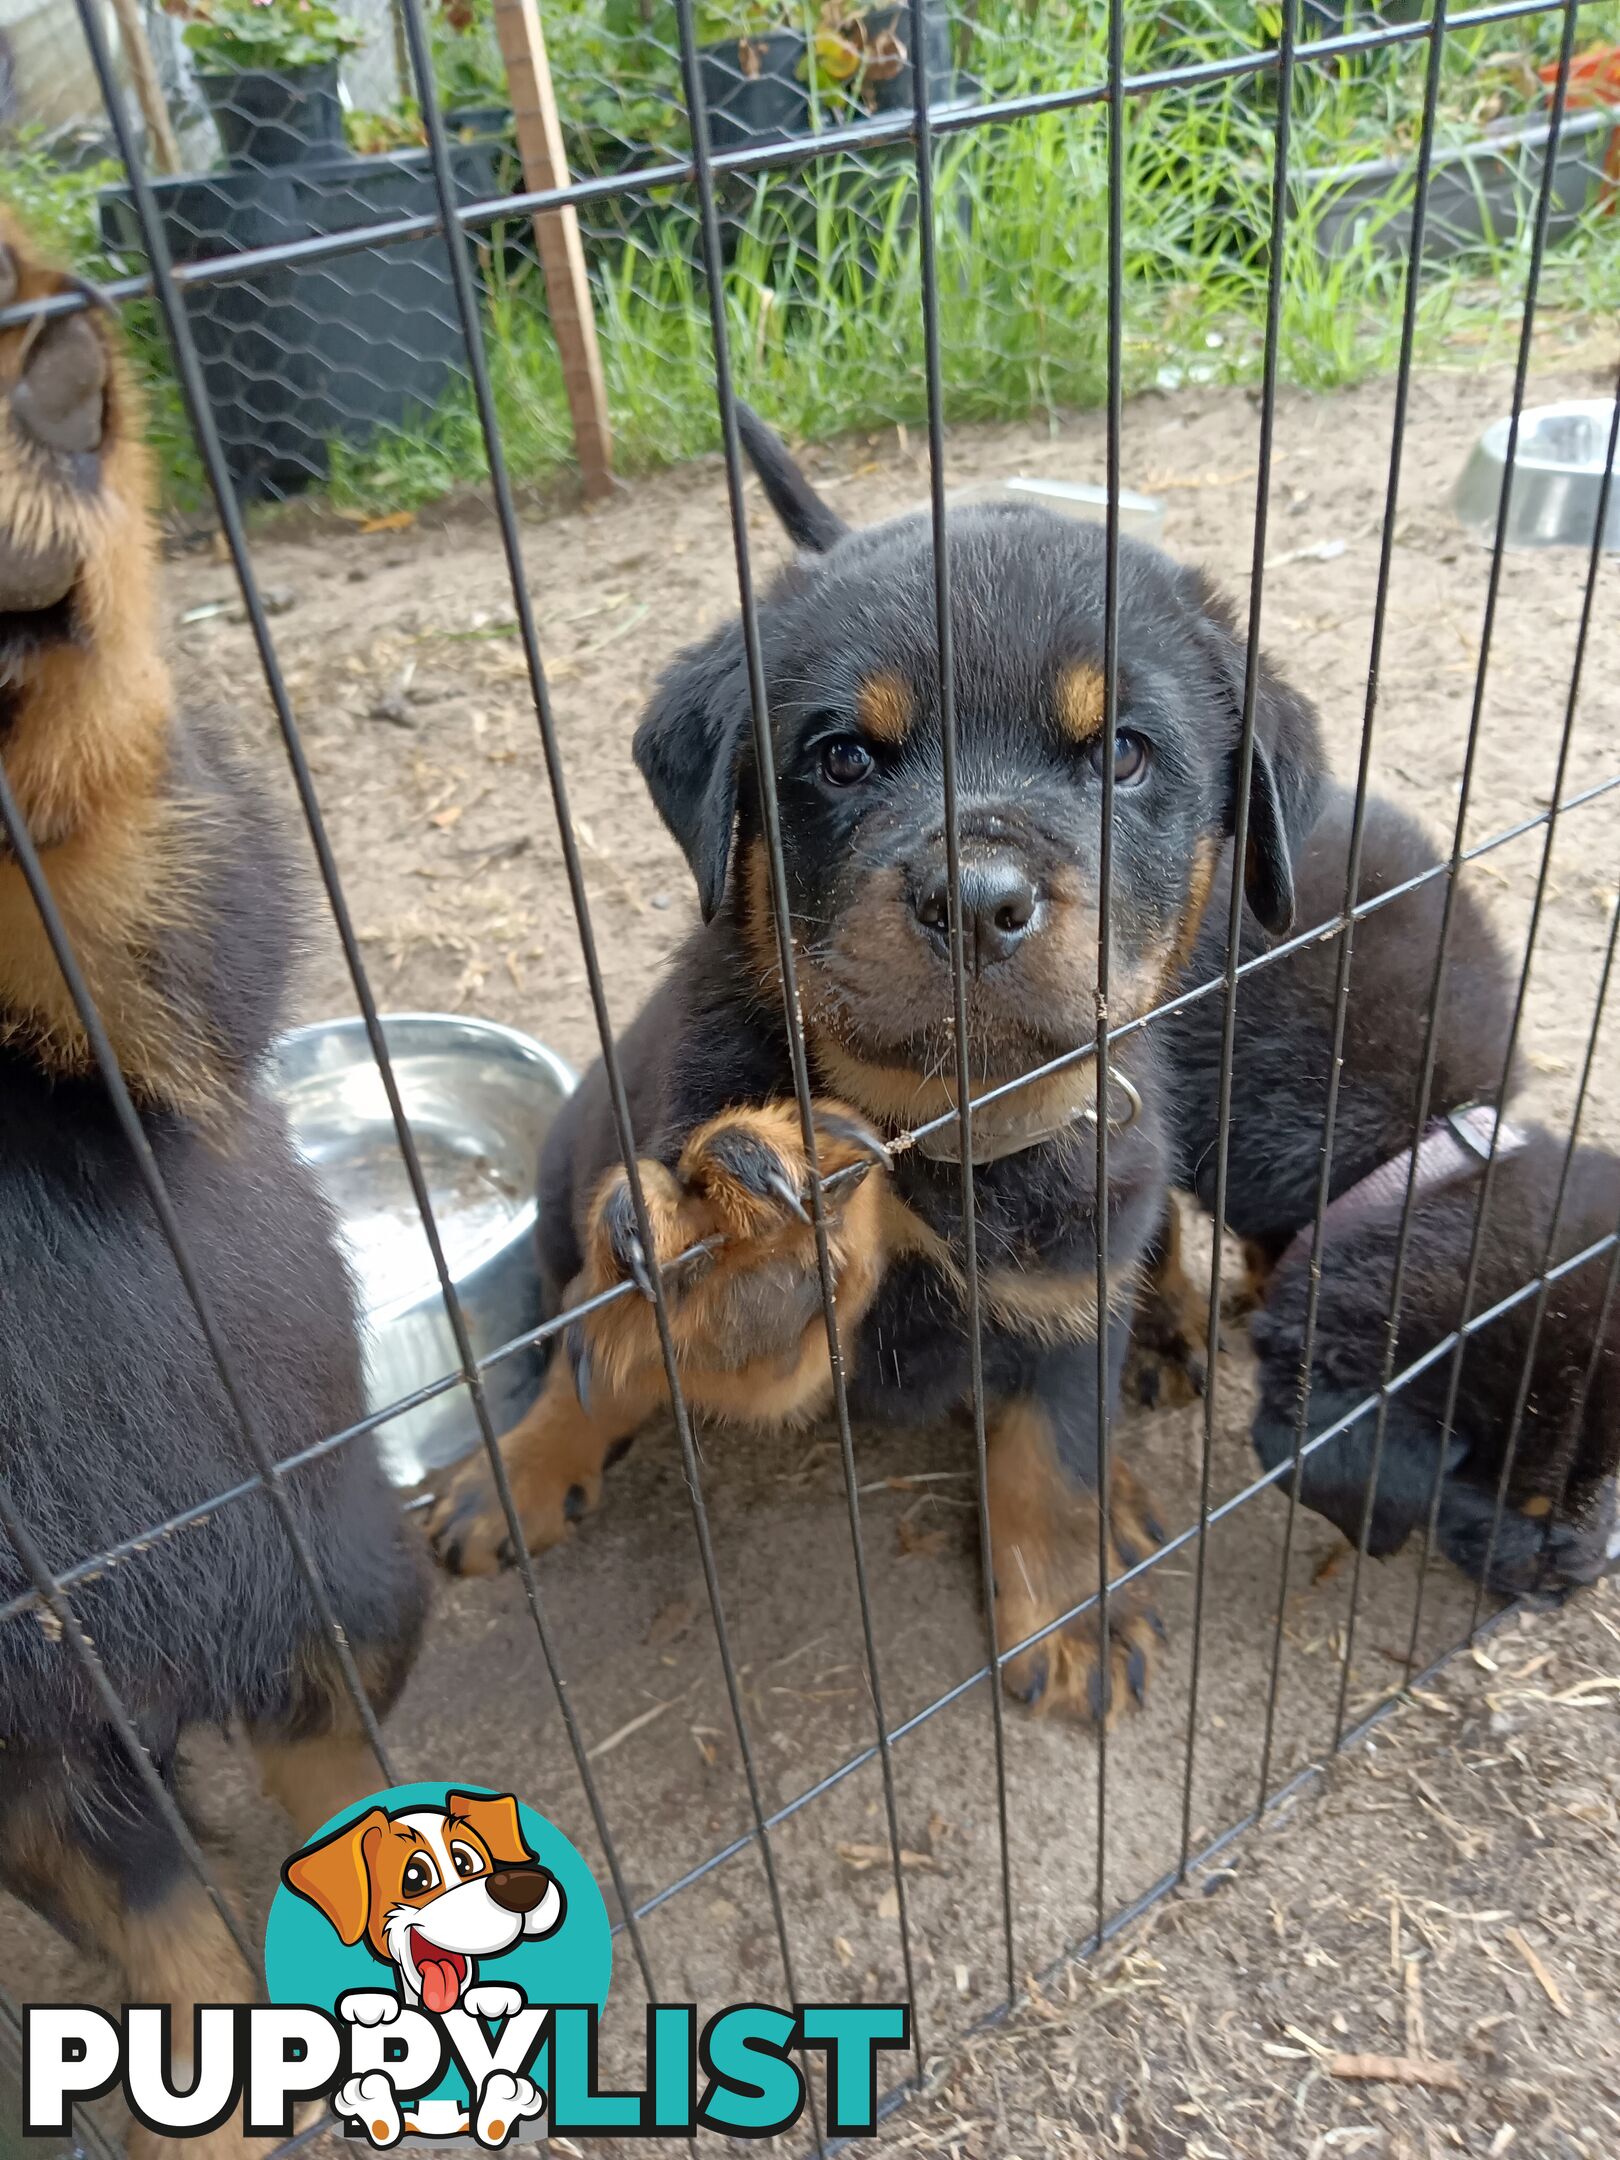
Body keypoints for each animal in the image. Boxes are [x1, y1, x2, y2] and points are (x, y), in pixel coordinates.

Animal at [432, 408, 1330, 1719]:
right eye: (845, 758)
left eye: (1123, 753)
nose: (979, 899)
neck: (940, 1128)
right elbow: (712, 1344)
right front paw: (756, 1254)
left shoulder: (1073, 1289)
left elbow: (1058, 1457)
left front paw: (1073, 1614)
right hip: (574, 1170)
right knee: (579, 1341)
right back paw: (517, 1472)